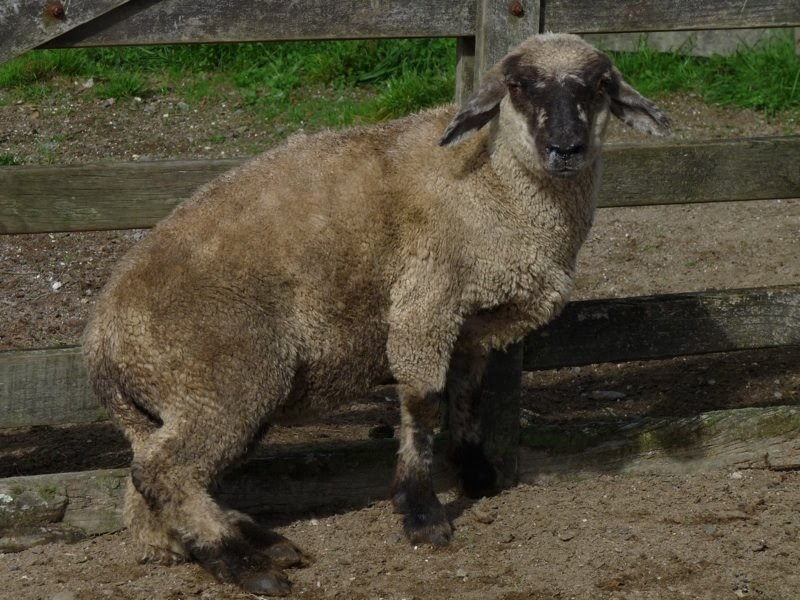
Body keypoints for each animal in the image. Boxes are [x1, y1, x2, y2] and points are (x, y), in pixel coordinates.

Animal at [82, 32, 671, 595]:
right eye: (518, 86)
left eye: (600, 85)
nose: (566, 148)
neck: (494, 186)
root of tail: (101, 341)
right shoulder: (426, 298)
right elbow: (424, 402)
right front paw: (422, 514)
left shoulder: (470, 327)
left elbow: (465, 395)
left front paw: (476, 472)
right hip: (222, 378)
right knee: (164, 473)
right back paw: (245, 564)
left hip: (183, 402)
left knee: (152, 485)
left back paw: (235, 543)